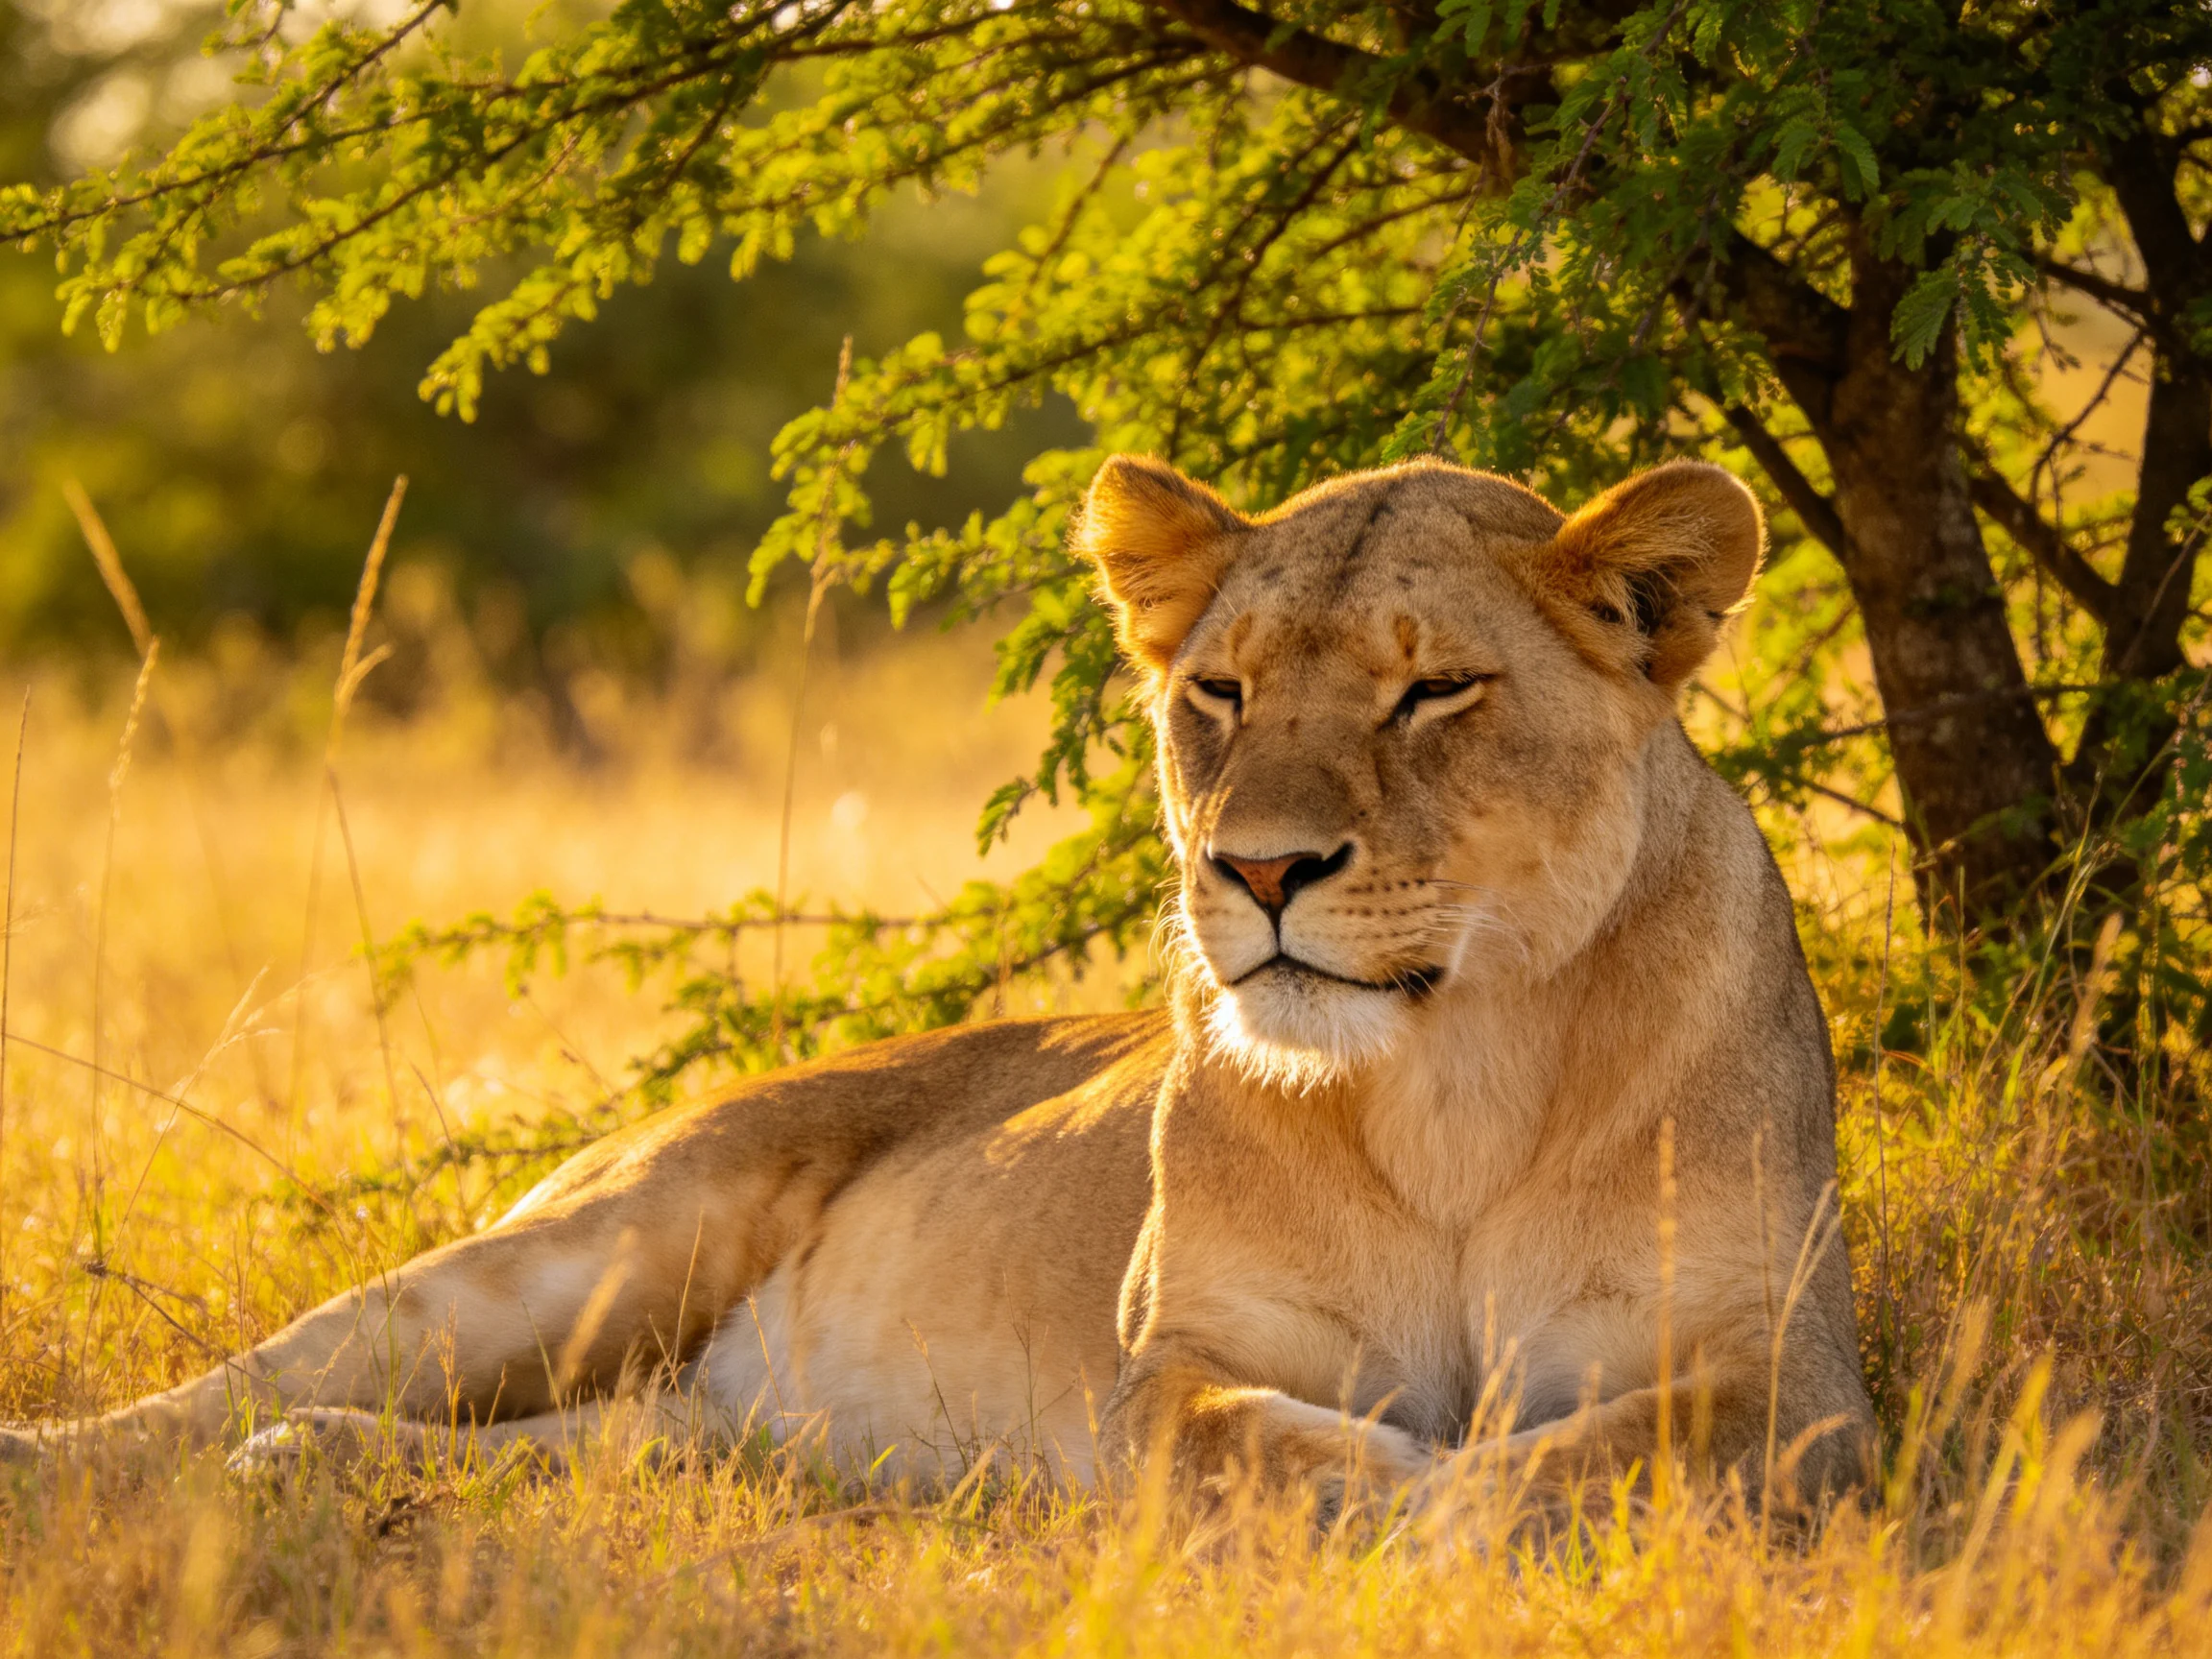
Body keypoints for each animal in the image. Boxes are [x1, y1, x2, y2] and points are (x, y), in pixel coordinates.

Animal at [2, 455, 1874, 1513]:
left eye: (1434, 693)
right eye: (1218, 691)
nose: (1258, 872)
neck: (1449, 1072)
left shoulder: (1789, 1374)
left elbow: (1598, 1456)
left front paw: (1468, 1498)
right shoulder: (1170, 1365)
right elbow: (1280, 1450)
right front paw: (1410, 1503)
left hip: (686, 1427)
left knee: (558, 1450)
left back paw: (309, 1471)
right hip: (582, 1255)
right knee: (251, 1378)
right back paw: (79, 1463)